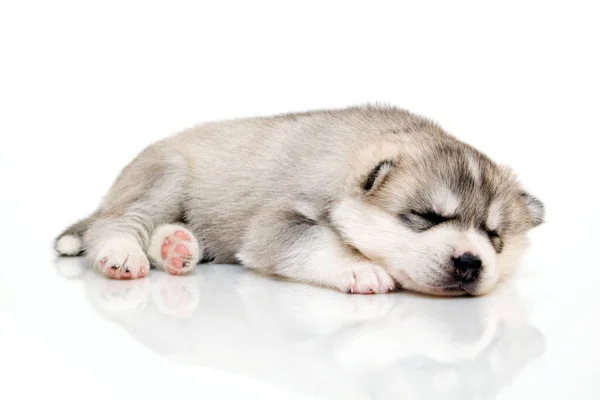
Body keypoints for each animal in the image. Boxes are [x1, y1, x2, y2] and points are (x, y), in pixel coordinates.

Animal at [55, 104, 544, 296]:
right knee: (116, 222)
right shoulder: (277, 220)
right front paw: (359, 267)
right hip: (166, 176)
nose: (470, 262)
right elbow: (316, 242)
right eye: (424, 216)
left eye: (494, 236)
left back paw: (177, 247)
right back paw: (123, 253)